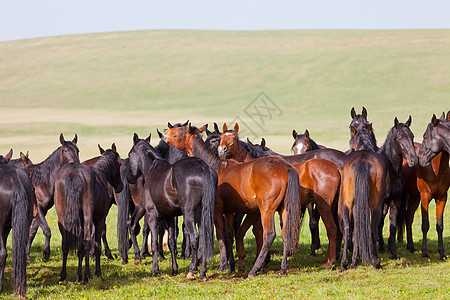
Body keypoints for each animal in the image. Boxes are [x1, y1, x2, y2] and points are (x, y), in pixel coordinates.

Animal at [54, 144, 123, 282]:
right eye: (119, 163)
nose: (120, 186)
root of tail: (73, 174)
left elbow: (81, 247)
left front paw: (81, 273)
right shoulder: (99, 219)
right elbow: (96, 244)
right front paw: (96, 272)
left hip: (62, 219)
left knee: (66, 244)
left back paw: (64, 275)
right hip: (87, 218)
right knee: (86, 241)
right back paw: (85, 275)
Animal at [127, 134, 217, 278]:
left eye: (130, 155)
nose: (129, 178)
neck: (152, 170)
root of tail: (204, 168)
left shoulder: (152, 216)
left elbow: (154, 243)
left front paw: (155, 270)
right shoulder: (169, 217)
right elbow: (172, 242)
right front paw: (174, 269)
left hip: (189, 214)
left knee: (195, 237)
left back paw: (192, 270)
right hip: (202, 213)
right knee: (204, 238)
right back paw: (202, 272)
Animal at [162, 123, 302, 276]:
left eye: (178, 132)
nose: (164, 133)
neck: (216, 167)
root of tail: (285, 167)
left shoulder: (217, 211)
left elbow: (221, 235)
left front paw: (222, 265)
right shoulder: (229, 212)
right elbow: (229, 235)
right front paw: (231, 266)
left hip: (266, 210)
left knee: (269, 235)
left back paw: (254, 269)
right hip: (284, 209)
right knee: (286, 233)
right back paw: (283, 267)